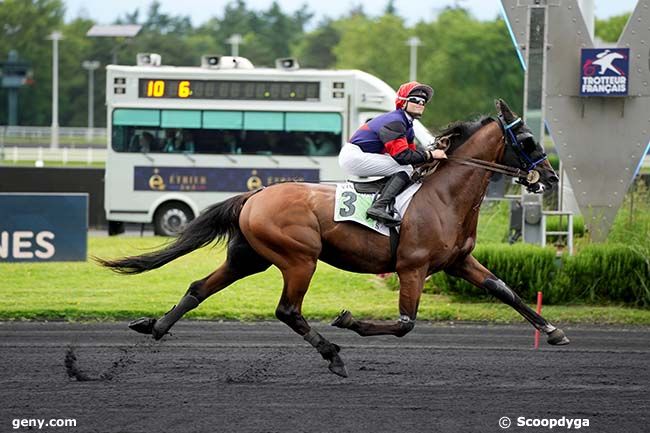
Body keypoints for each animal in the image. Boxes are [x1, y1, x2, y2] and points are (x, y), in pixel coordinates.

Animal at [97, 99, 568, 376]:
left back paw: (155, 326)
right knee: (288, 310)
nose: (550, 177)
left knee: (199, 287)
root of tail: (256, 193)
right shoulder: (412, 267)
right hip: (298, 258)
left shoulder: (458, 262)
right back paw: (333, 354)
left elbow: (504, 290)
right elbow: (405, 324)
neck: (444, 196)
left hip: (248, 257)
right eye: (527, 138)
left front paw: (553, 331)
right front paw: (349, 321)